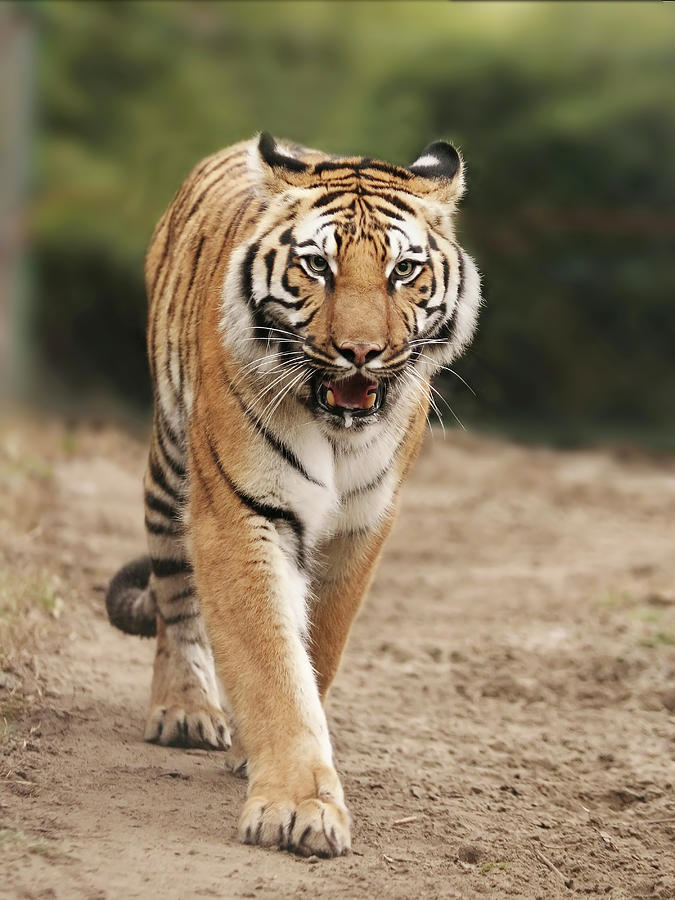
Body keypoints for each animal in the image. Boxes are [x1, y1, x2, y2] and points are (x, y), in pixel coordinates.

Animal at [107, 134, 480, 856]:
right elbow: (271, 661)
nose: (361, 351)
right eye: (317, 266)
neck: (336, 431)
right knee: (176, 594)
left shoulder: (362, 525)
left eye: (403, 271)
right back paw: (186, 709)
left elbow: (318, 649)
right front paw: (297, 806)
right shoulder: (241, 511)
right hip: (171, 469)